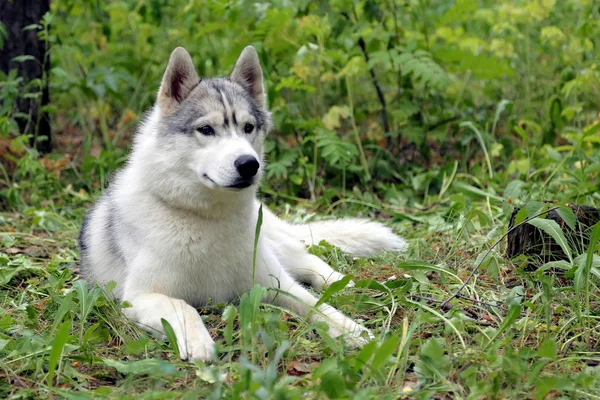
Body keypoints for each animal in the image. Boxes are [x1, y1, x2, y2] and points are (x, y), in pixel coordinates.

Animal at [78, 45, 408, 360]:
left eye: (248, 128)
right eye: (206, 130)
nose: (249, 164)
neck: (208, 219)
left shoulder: (273, 283)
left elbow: (317, 306)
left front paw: (353, 331)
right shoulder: (141, 297)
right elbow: (185, 308)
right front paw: (198, 341)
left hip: (276, 248)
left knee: (307, 259)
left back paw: (339, 280)